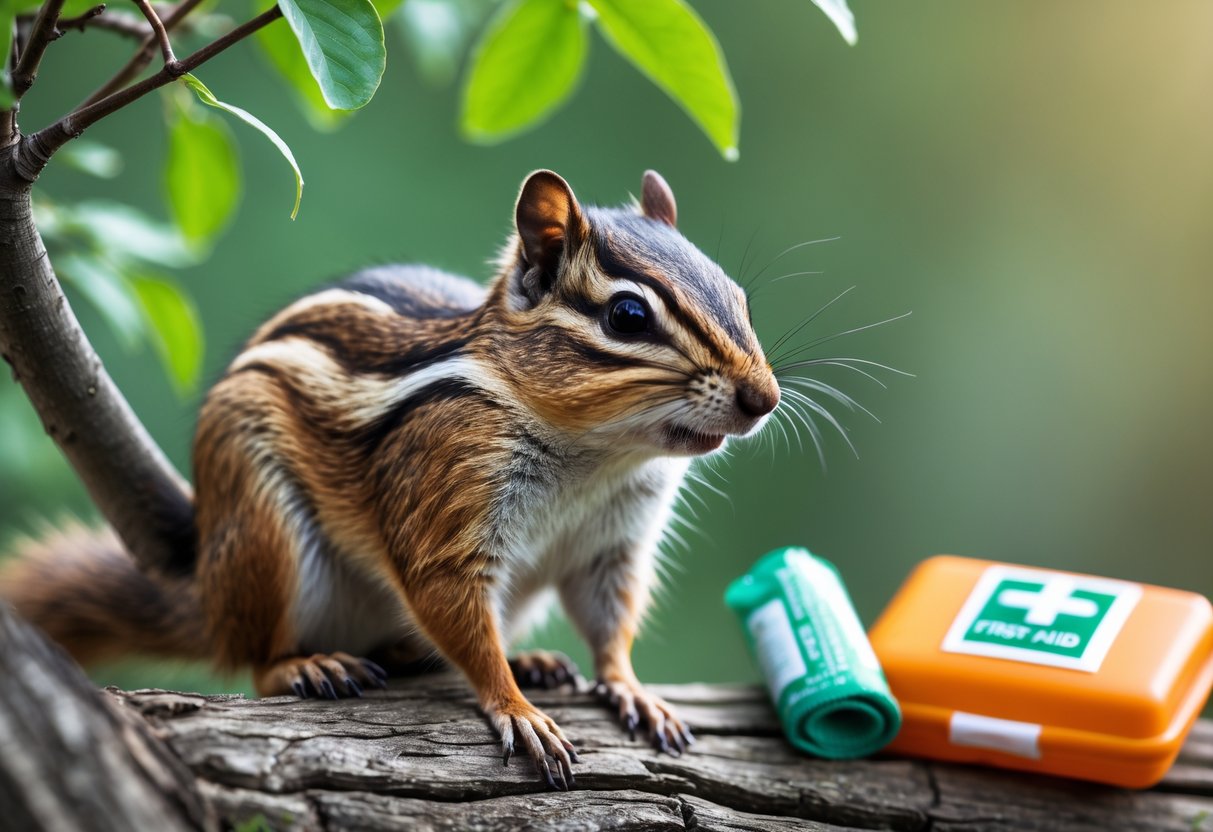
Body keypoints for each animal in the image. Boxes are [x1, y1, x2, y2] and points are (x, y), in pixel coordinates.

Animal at [0, 170, 781, 789]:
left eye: (740, 297)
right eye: (627, 315)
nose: (763, 398)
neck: (598, 454)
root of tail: (209, 592)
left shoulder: (613, 544)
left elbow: (609, 621)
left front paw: (630, 689)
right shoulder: (448, 500)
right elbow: (453, 611)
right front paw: (515, 708)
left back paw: (523, 658)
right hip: (264, 537)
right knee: (253, 659)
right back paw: (309, 666)